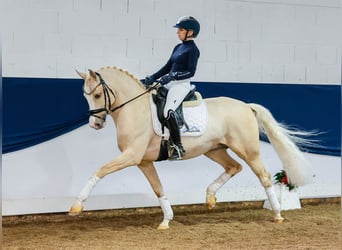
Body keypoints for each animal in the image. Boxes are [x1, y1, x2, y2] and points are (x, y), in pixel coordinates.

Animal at [69, 66, 312, 229]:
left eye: (97, 95)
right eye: (85, 96)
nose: (95, 124)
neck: (135, 109)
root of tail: (246, 106)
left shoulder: (131, 156)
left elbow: (100, 170)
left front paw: (76, 206)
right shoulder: (144, 161)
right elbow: (158, 189)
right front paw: (166, 220)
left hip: (248, 151)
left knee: (264, 176)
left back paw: (277, 214)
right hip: (215, 150)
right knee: (234, 167)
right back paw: (210, 197)